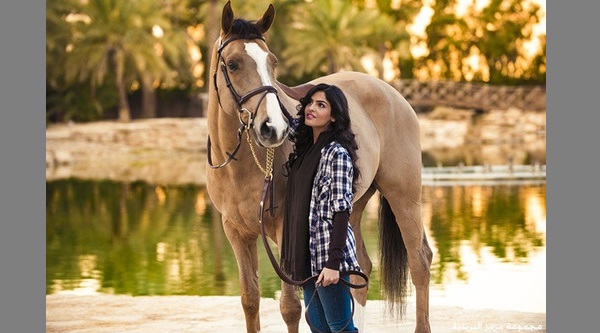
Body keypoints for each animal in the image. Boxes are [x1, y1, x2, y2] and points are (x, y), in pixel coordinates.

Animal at [206, 1, 432, 330]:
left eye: (272, 63)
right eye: (233, 64)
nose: (273, 128)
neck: (242, 164)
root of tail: (391, 92)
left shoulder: (285, 231)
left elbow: (289, 307)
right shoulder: (235, 231)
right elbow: (250, 300)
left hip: (404, 196)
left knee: (420, 262)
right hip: (352, 204)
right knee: (360, 266)